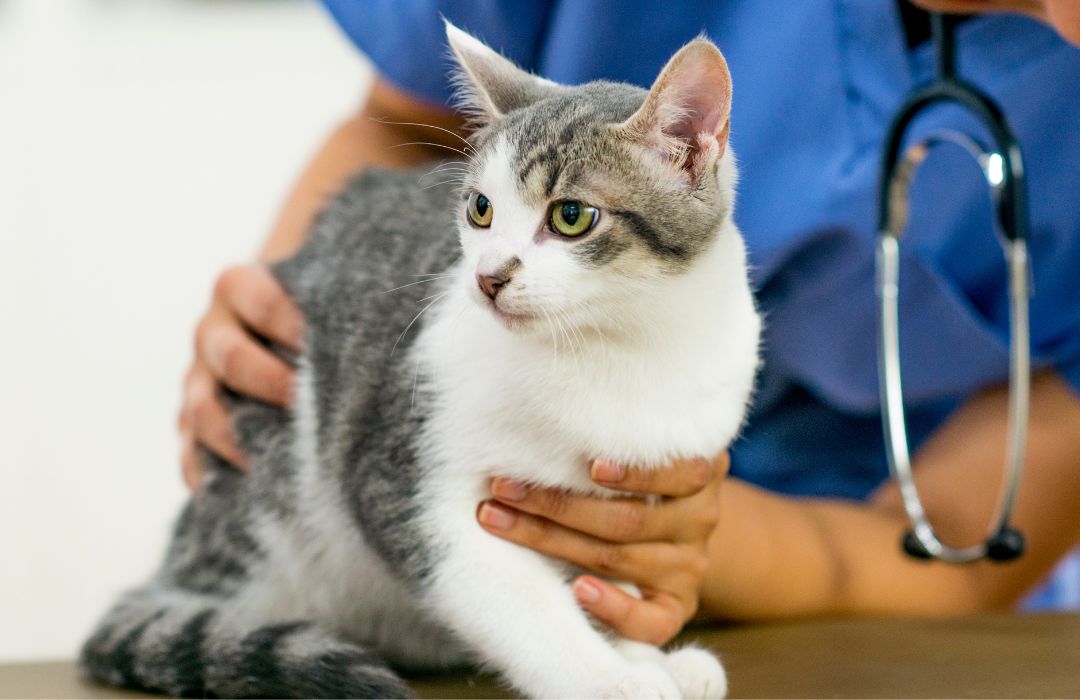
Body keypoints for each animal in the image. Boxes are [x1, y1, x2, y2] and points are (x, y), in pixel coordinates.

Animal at [79, 21, 760, 700]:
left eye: (571, 216)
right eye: (481, 209)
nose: (488, 277)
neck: (621, 344)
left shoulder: (633, 498)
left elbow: (611, 582)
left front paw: (642, 653)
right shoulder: (406, 482)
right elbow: (517, 599)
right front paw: (610, 678)